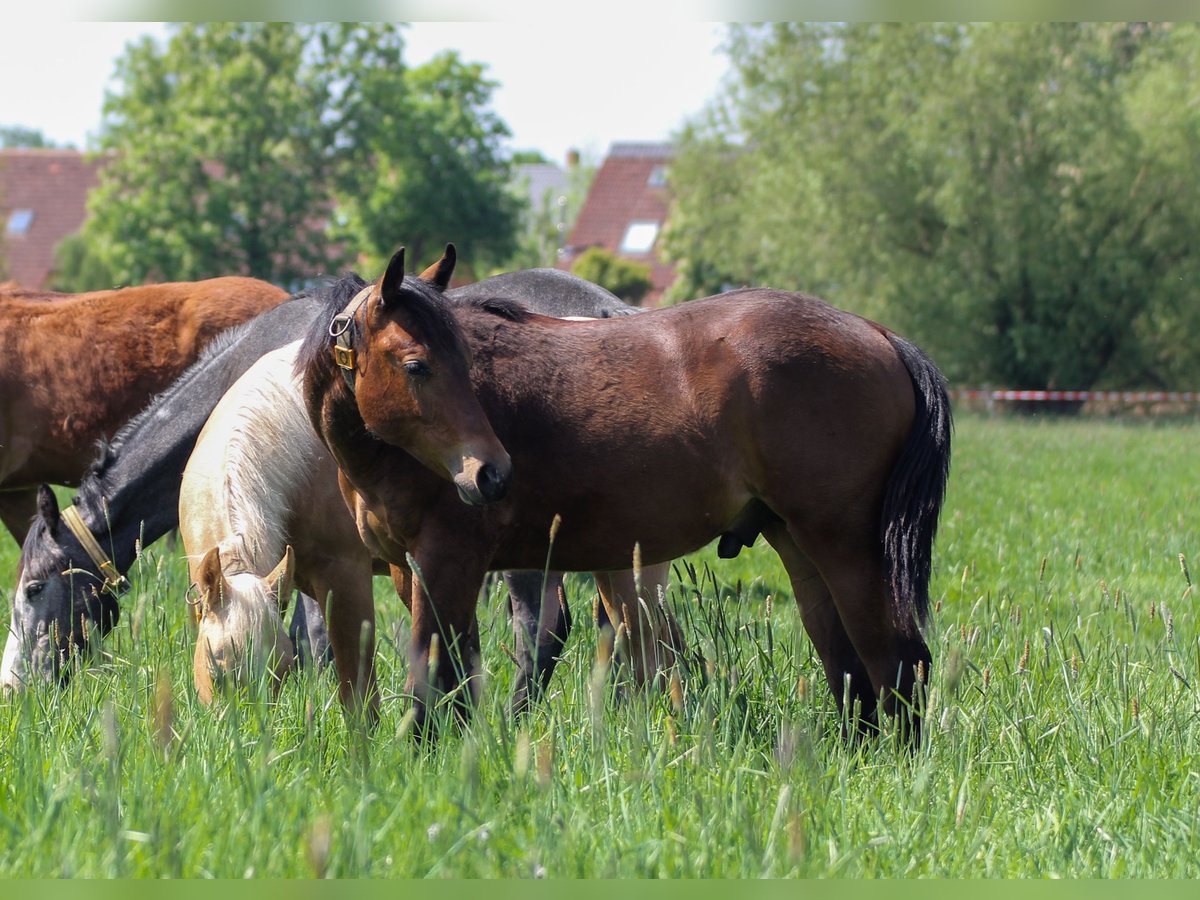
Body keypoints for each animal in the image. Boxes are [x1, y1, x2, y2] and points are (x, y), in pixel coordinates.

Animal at [298, 247, 952, 739]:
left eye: (464, 360)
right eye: (417, 366)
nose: (491, 474)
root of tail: (879, 334)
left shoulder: (448, 564)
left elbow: (436, 677)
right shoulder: (412, 571)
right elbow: (449, 678)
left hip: (846, 550)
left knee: (897, 660)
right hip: (798, 546)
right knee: (848, 666)